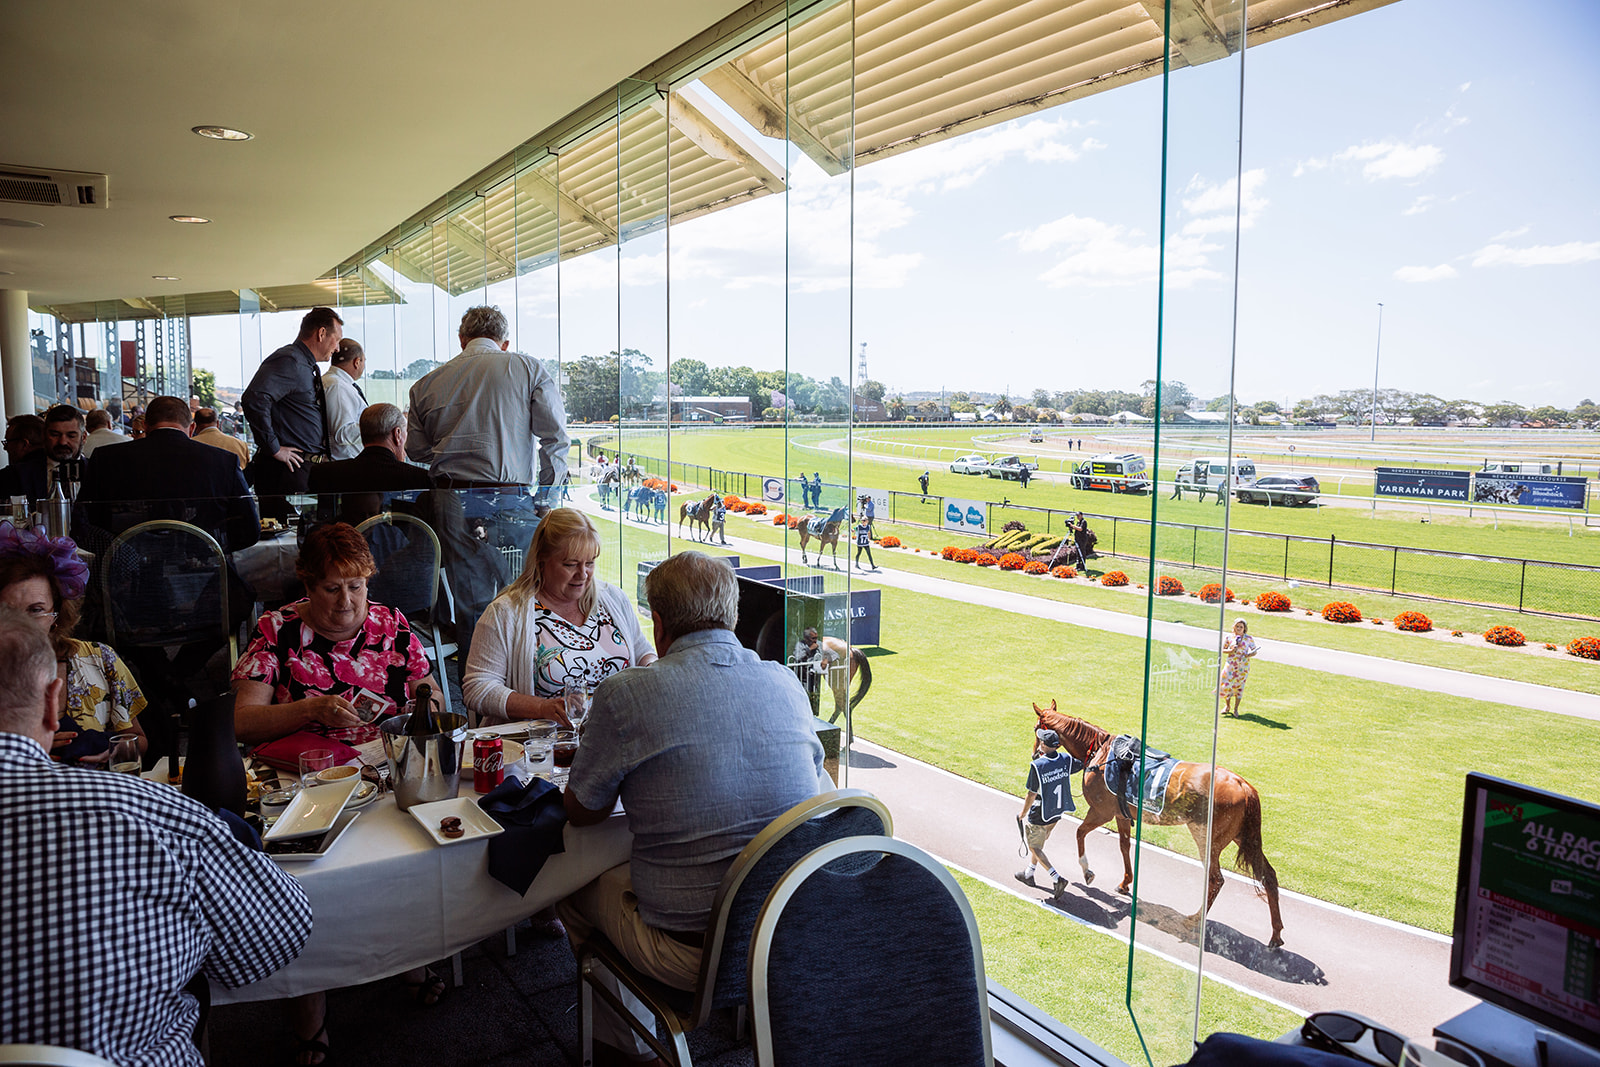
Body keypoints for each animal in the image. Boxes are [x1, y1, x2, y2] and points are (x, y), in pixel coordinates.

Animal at [1032, 701, 1284, 948]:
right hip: (1243, 836)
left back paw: (1195, 920)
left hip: (1207, 838)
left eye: (1036, 728)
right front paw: (1125, 882)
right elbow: (1124, 846)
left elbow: (1080, 833)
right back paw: (1276, 933)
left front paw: (1087, 872)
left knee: (1216, 879)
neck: (1100, 753)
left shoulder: (1101, 812)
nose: (1035, 754)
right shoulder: (1121, 814)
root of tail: (1243, 785)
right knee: (1269, 876)